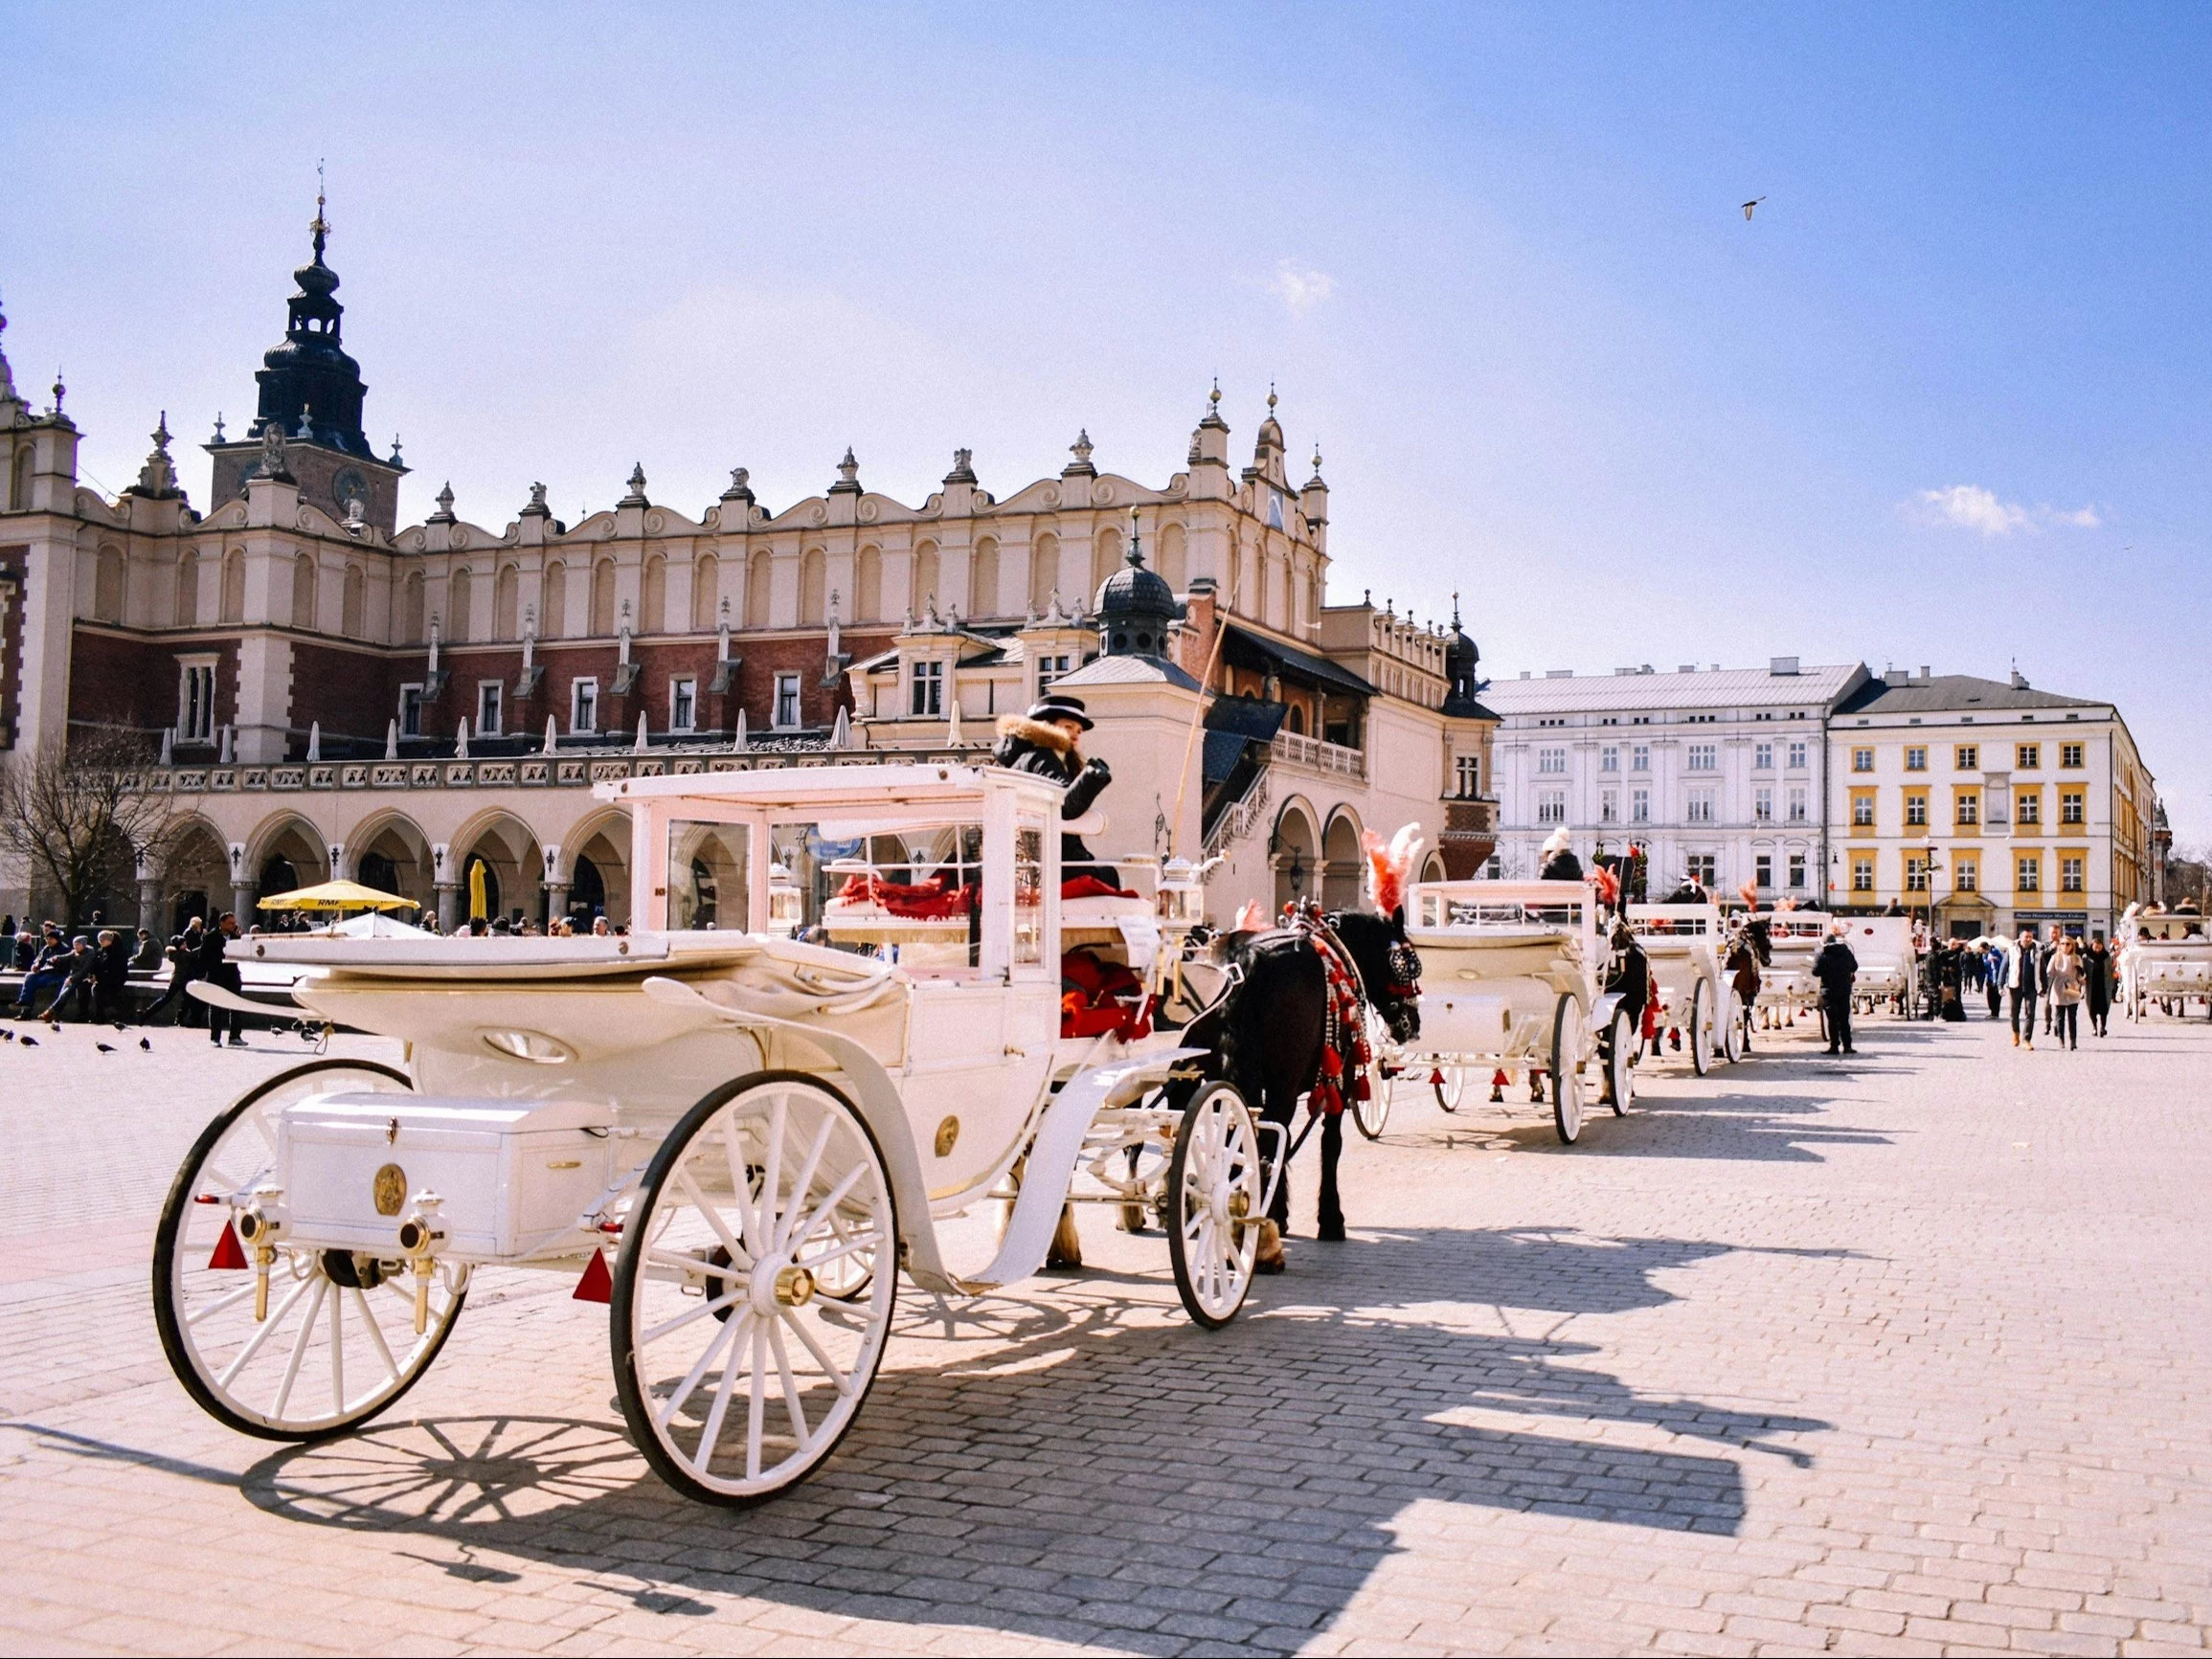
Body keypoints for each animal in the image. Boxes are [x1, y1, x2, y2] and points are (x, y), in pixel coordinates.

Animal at [1185, 915, 1424, 1256]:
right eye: (1408, 965)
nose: (1413, 1024)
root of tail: (1244, 954)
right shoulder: (1340, 1080)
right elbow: (1329, 1144)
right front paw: (1330, 1218)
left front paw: (1281, 1211)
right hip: (1283, 1083)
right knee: (1264, 1140)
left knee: (1239, 1136)